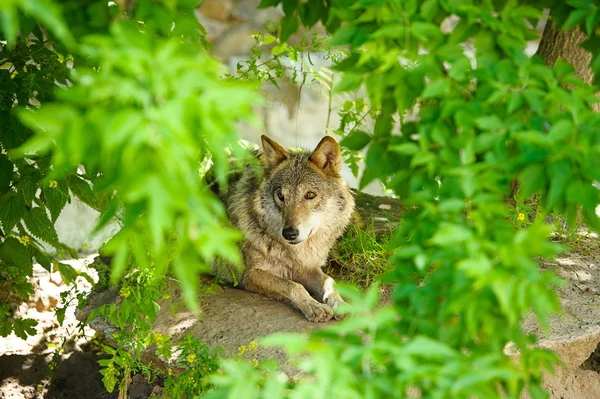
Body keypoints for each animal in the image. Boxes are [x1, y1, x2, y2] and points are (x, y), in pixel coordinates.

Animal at [214, 136, 356, 324]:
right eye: (281, 196)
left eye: (310, 195)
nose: (289, 233)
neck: (293, 252)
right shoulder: (249, 274)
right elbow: (293, 285)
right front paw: (314, 306)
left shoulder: (306, 268)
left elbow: (329, 280)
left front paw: (340, 303)